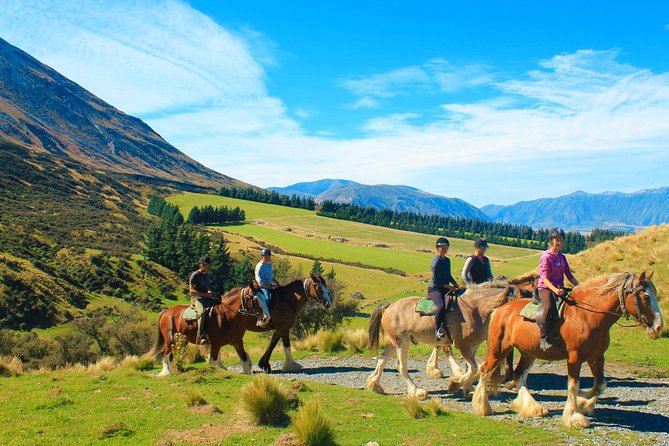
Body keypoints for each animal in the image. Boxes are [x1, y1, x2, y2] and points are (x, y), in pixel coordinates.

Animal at [366, 280, 512, 398]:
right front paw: (454, 384)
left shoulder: (473, 346)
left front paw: (468, 389)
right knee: (401, 366)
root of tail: (390, 306)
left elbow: (469, 368)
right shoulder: (463, 345)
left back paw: (375, 385)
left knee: (382, 359)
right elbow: (473, 368)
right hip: (402, 342)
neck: (474, 308)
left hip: (394, 342)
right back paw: (417, 391)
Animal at [470, 272, 664, 428]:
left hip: (528, 352)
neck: (588, 316)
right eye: (645, 296)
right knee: (485, 370)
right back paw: (482, 407)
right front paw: (573, 416)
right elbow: (573, 385)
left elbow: (600, 385)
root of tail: (500, 310)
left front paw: (585, 403)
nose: (658, 326)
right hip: (499, 349)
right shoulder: (574, 357)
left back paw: (533, 408)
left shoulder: (596, 357)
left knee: (519, 376)